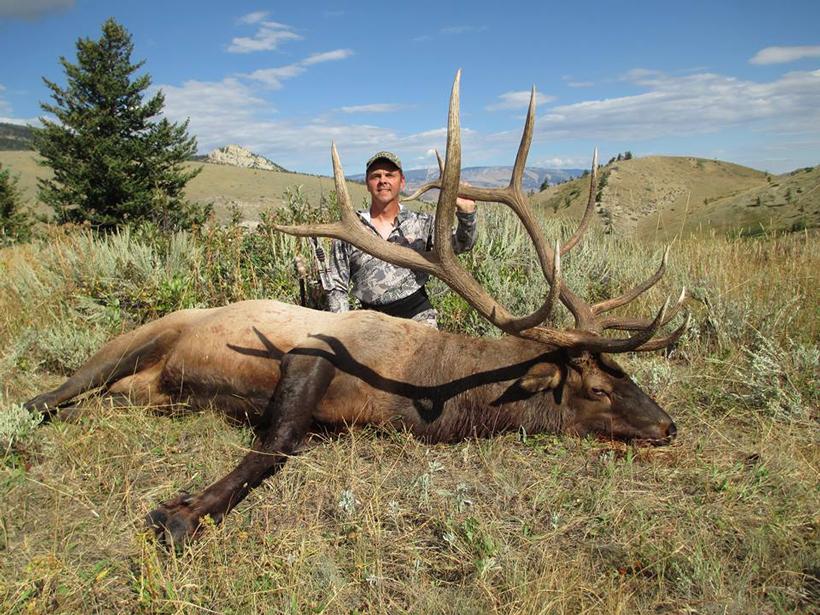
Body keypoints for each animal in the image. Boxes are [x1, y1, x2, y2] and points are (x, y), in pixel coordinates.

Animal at [24, 71, 688, 545]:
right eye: (598, 389)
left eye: (626, 375)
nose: (668, 426)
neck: (423, 390)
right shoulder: (316, 351)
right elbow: (277, 443)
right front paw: (182, 514)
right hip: (140, 340)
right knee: (47, 395)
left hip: (139, 393)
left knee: (84, 402)